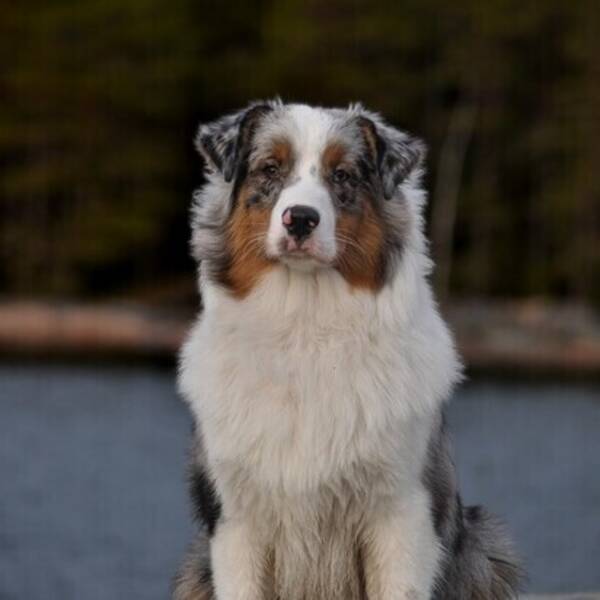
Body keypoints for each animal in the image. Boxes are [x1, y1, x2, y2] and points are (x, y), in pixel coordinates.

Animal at [172, 101, 520, 596]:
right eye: (270, 169)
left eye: (343, 175)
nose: (300, 218)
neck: (305, 327)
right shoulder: (234, 518)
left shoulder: (402, 511)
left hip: (486, 546)